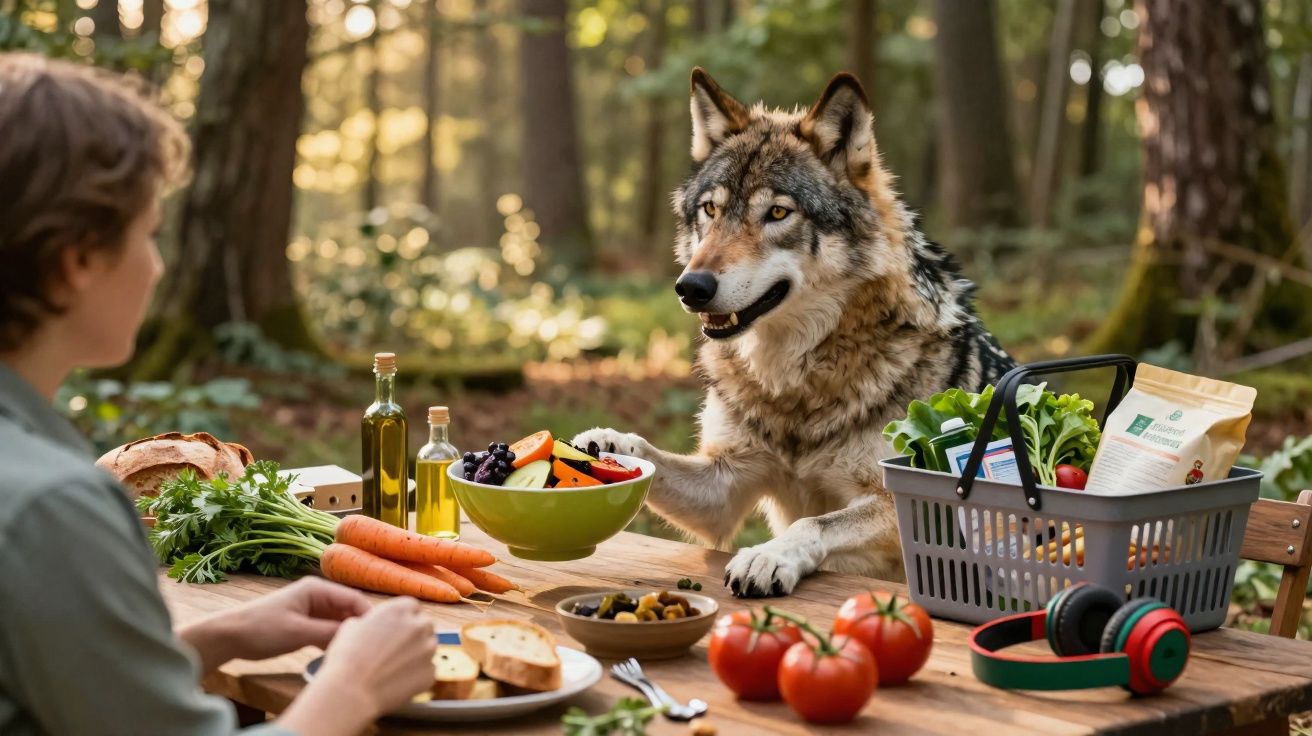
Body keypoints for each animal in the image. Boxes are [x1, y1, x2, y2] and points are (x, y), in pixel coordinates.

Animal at [574, 68, 1015, 597]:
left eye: (778, 213)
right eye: (710, 210)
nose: (691, 287)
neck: (795, 386)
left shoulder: (908, 504)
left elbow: (815, 523)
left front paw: (767, 556)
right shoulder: (726, 487)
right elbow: (655, 458)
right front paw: (610, 443)